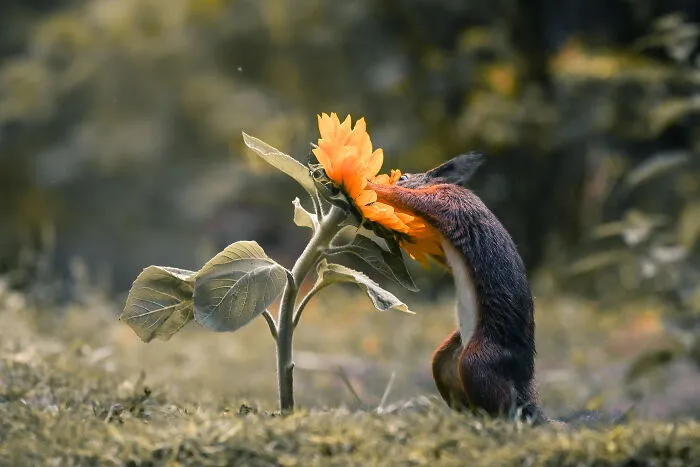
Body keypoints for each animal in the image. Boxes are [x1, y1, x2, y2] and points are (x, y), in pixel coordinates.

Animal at [367, 153, 543, 421]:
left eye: (404, 177)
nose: (395, 178)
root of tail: (523, 376)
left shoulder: (449, 200)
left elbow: (415, 200)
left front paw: (374, 187)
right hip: (446, 358)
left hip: (479, 358)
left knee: (503, 404)